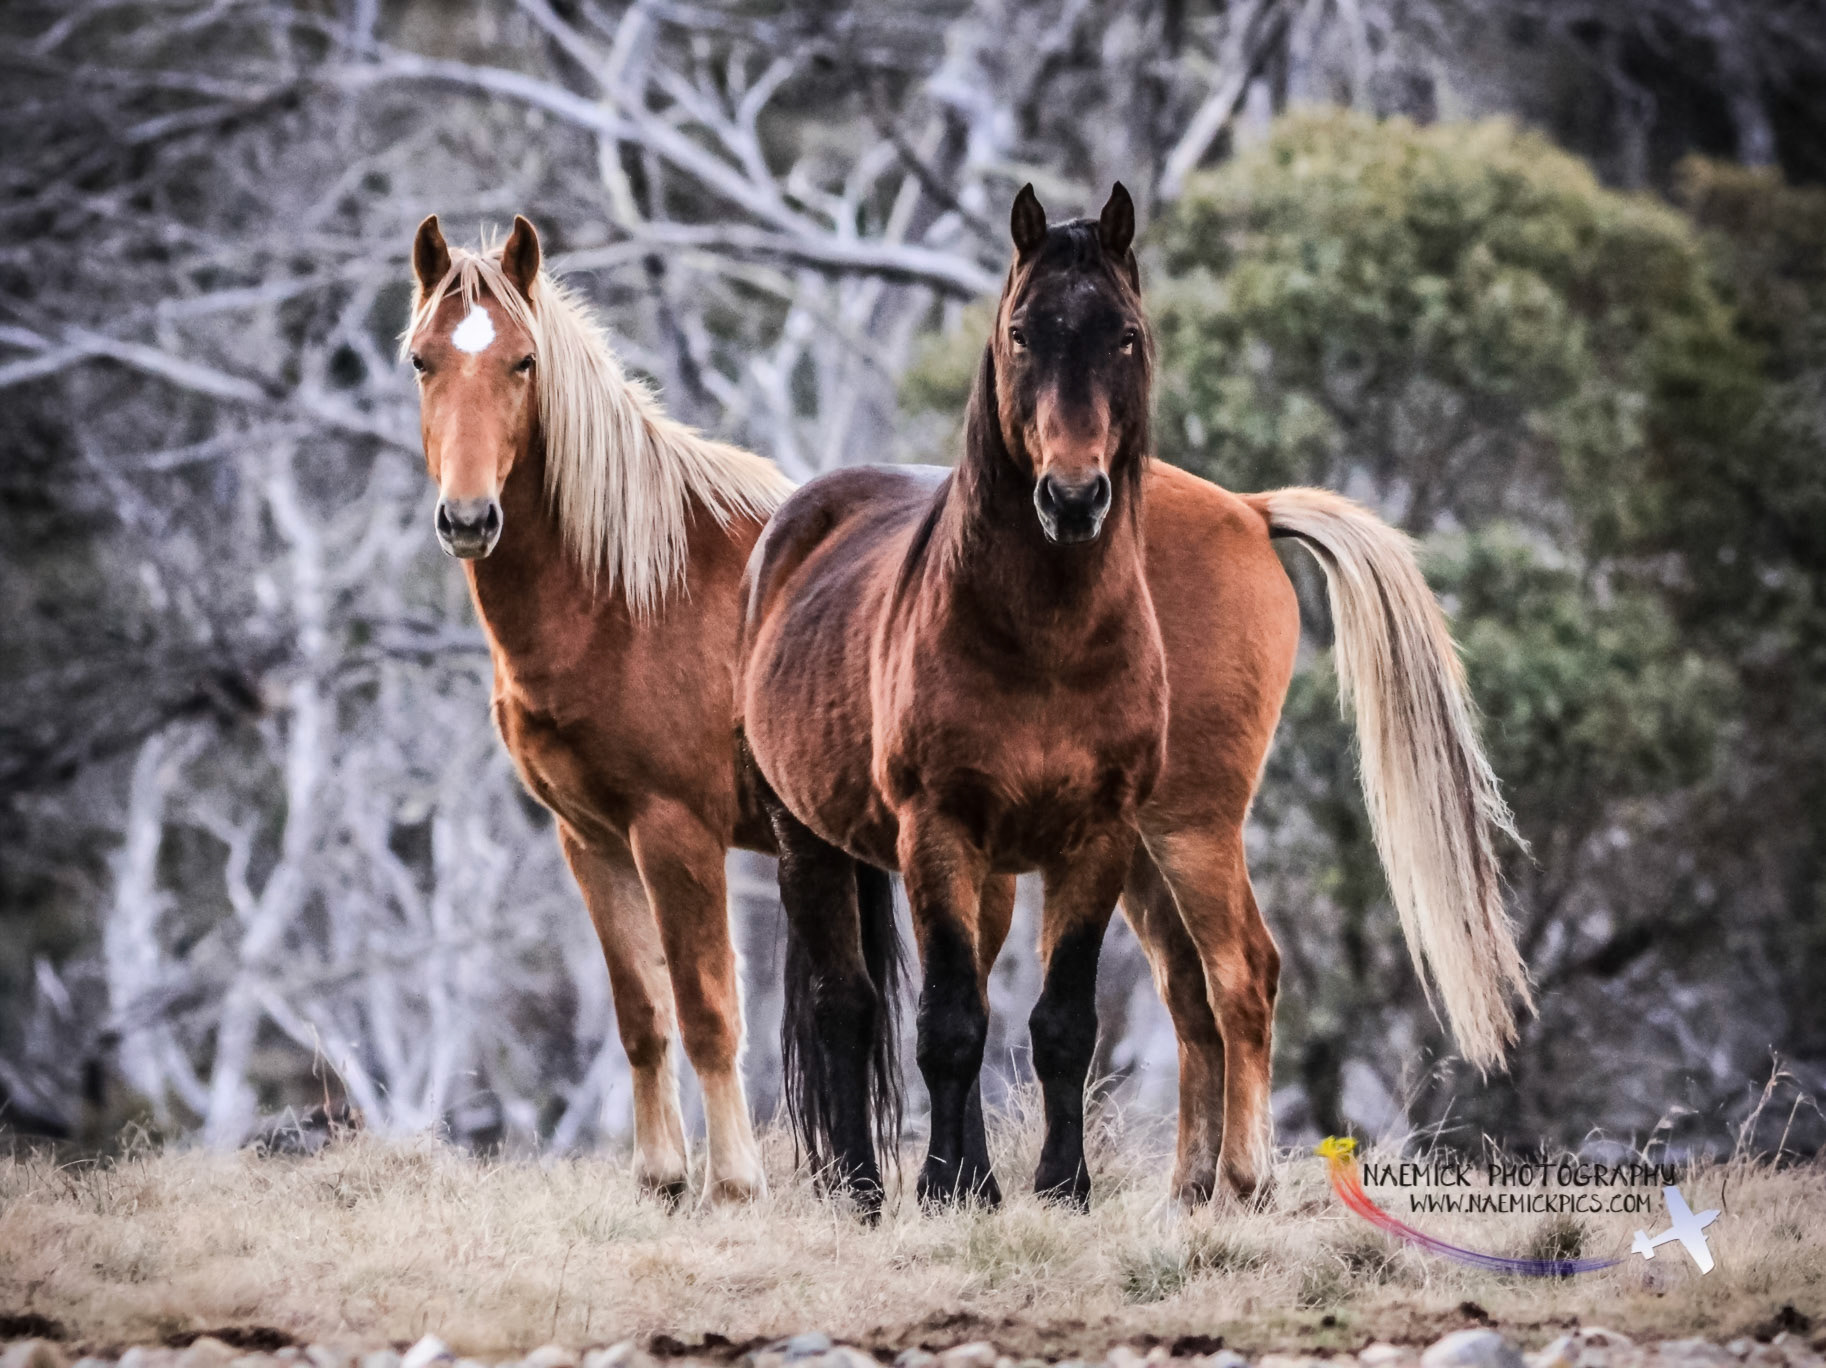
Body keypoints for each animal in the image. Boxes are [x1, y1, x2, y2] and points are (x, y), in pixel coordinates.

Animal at [401, 213, 794, 1203]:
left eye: (523, 362)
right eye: (423, 360)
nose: (469, 519)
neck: (633, 595)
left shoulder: (677, 833)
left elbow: (706, 1010)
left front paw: (734, 1184)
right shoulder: (593, 838)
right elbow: (642, 1012)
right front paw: (661, 1177)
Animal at [739, 185, 1169, 1213]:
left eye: (1125, 335)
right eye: (1020, 333)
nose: (1072, 497)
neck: (1048, 644)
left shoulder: (1098, 837)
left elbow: (1060, 1023)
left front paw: (1059, 1187)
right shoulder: (934, 829)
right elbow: (945, 1027)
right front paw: (938, 1185)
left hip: (992, 874)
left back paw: (973, 1182)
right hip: (808, 842)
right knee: (849, 1007)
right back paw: (862, 1187)